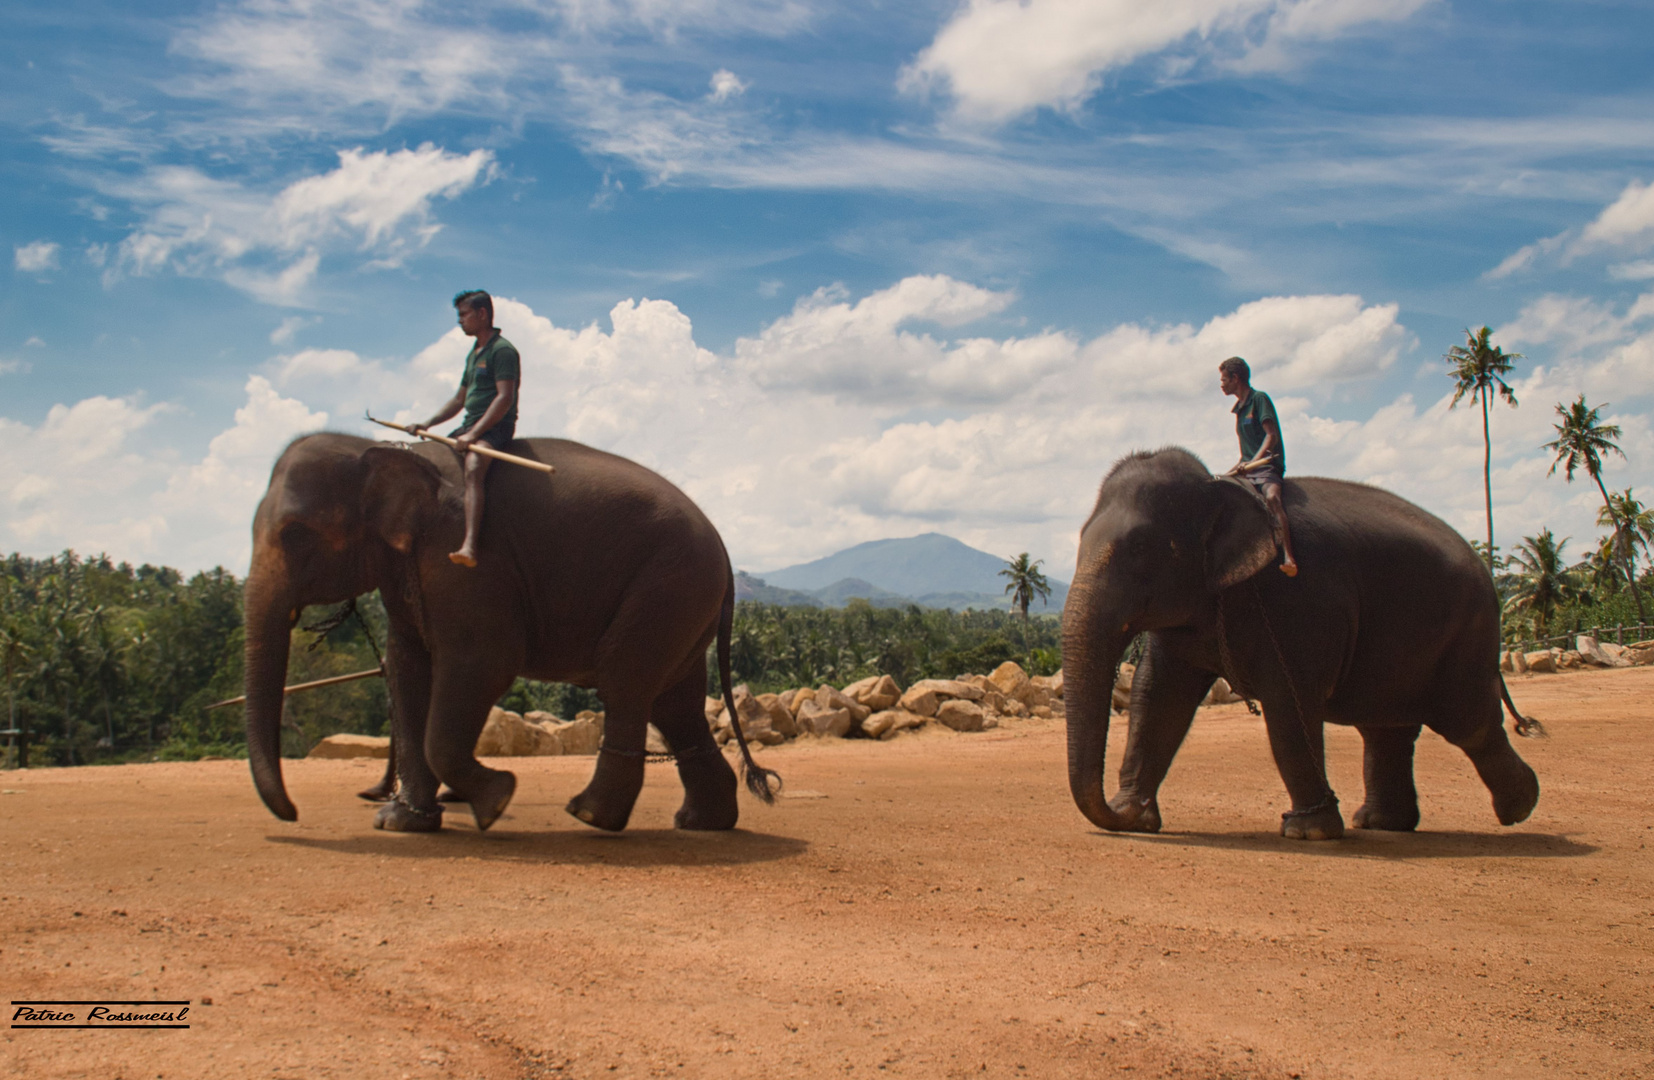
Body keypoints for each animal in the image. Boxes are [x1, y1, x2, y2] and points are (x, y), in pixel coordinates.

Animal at [246, 433, 780, 833]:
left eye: (295, 533)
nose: (292, 814)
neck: (383, 450)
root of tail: (726, 553)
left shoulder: (467, 558)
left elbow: (483, 662)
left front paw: (496, 801)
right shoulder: (408, 569)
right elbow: (407, 669)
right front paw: (400, 823)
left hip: (669, 584)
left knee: (626, 682)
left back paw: (590, 815)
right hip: (684, 601)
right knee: (674, 702)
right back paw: (699, 822)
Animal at [1058, 446, 1534, 843]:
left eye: (1140, 546)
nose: (1123, 808)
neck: (1221, 488)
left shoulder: (1303, 598)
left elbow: (1289, 700)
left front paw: (1309, 832)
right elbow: (1157, 696)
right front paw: (1135, 817)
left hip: (1469, 632)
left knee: (1467, 722)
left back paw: (1520, 806)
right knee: (1387, 727)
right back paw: (1383, 823)